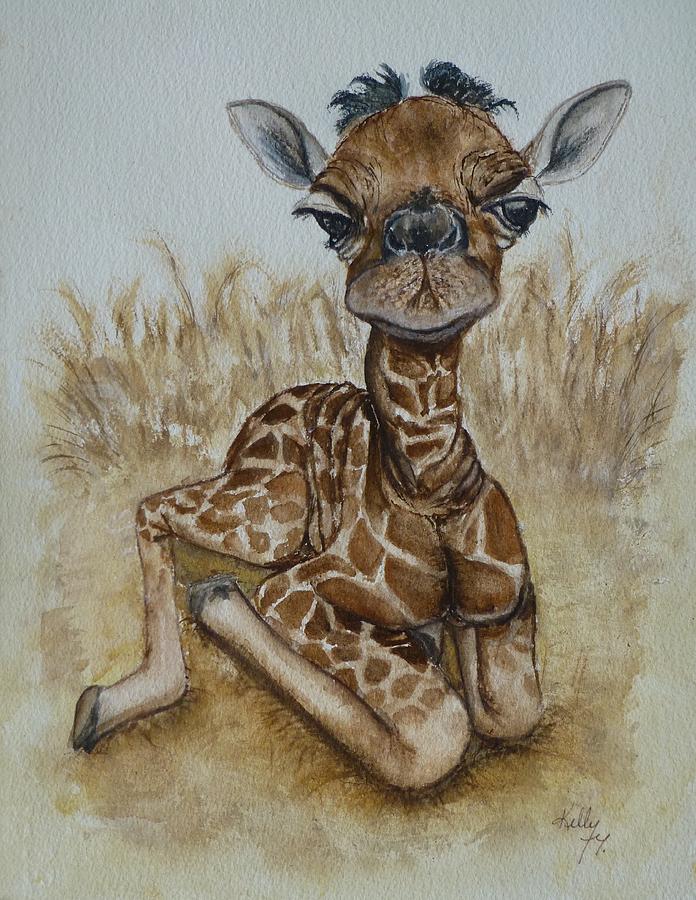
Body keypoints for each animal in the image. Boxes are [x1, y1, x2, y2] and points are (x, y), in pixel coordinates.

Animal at [71, 63, 631, 791]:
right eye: (330, 217)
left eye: (519, 206)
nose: (421, 232)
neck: (428, 493)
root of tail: (257, 421)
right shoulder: (299, 590)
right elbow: (436, 734)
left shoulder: (503, 603)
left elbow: (511, 710)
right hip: (272, 516)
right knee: (154, 506)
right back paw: (121, 690)